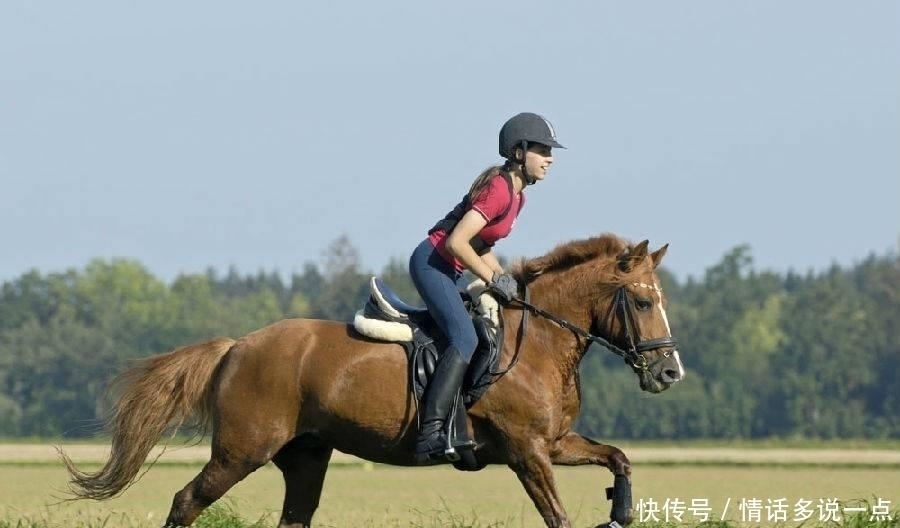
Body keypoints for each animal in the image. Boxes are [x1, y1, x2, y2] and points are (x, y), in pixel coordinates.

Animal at [60, 233, 685, 528]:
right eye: (640, 300)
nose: (668, 372)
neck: (536, 342)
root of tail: (236, 346)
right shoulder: (527, 451)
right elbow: (557, 515)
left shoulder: (552, 443)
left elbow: (620, 459)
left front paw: (622, 510)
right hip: (242, 451)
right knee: (187, 500)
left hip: (305, 456)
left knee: (292, 516)